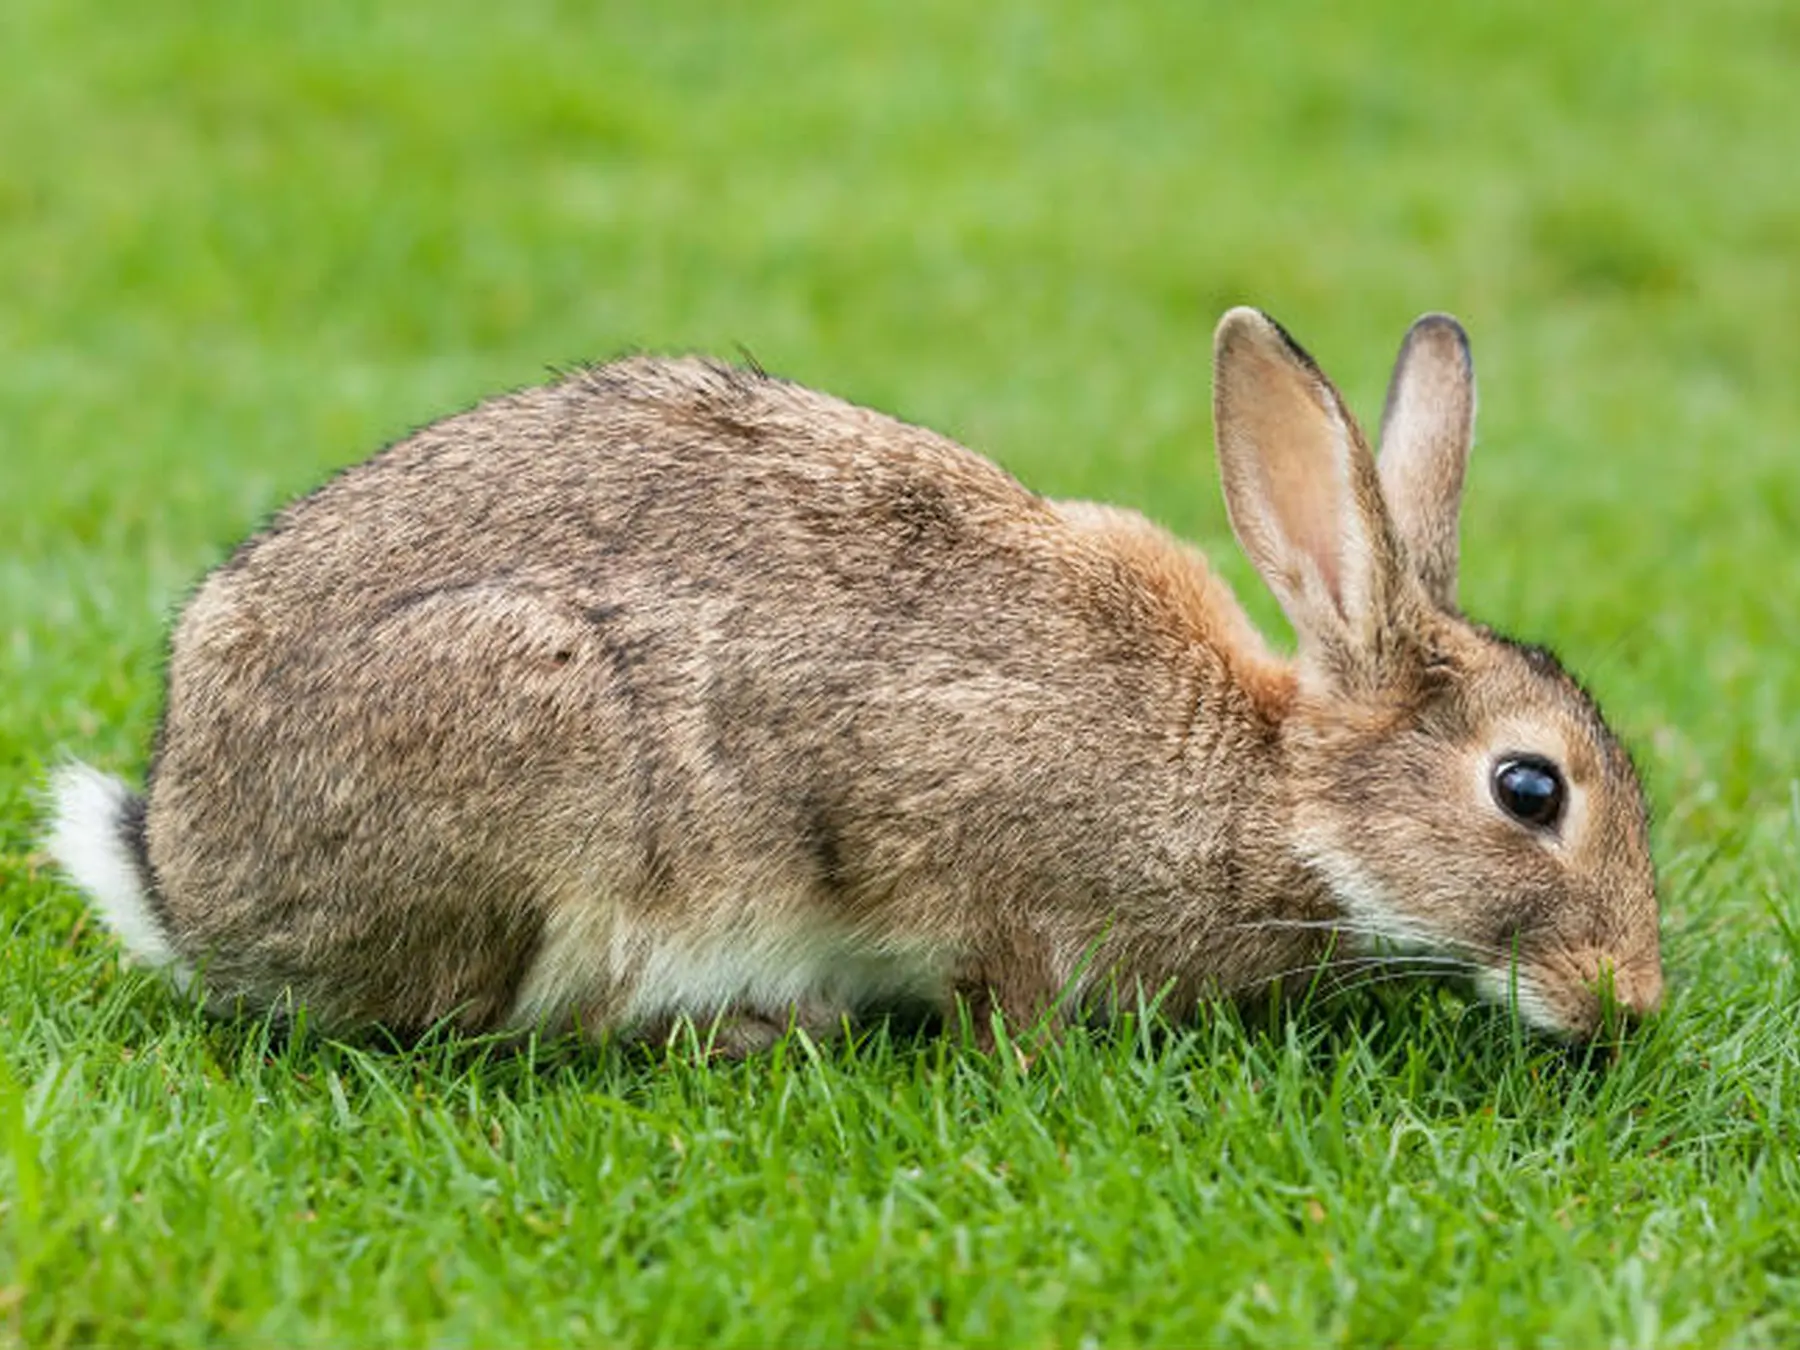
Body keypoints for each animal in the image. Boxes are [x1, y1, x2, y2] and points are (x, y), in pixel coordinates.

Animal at [44, 308, 1663, 1050]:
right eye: (1530, 789)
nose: (1631, 1000)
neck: (1271, 789)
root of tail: (183, 875)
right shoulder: (957, 826)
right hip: (542, 765)